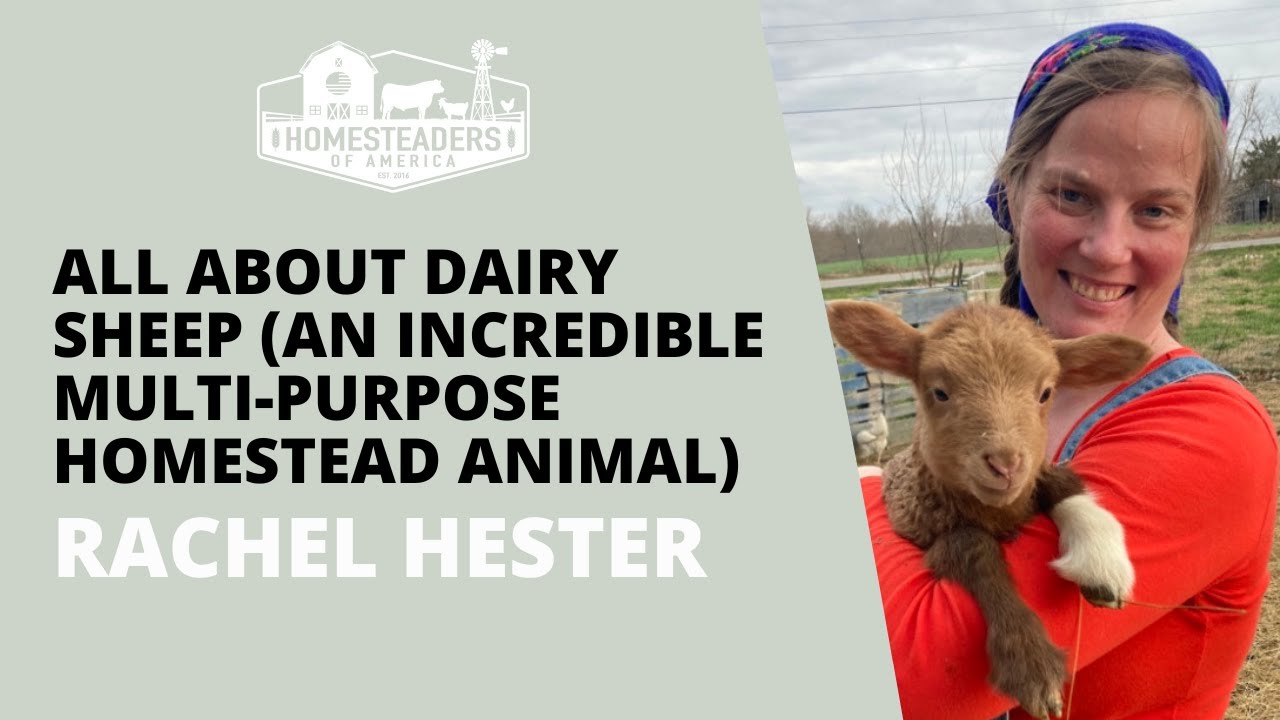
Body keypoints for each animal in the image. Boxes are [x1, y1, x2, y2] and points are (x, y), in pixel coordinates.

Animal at [827, 300, 1151, 720]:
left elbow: (1059, 479)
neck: (997, 514)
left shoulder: (1034, 479)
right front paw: (1029, 661)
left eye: (1046, 393)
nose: (1005, 464)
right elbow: (971, 546)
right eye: (940, 392)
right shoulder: (923, 526)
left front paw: (1100, 557)